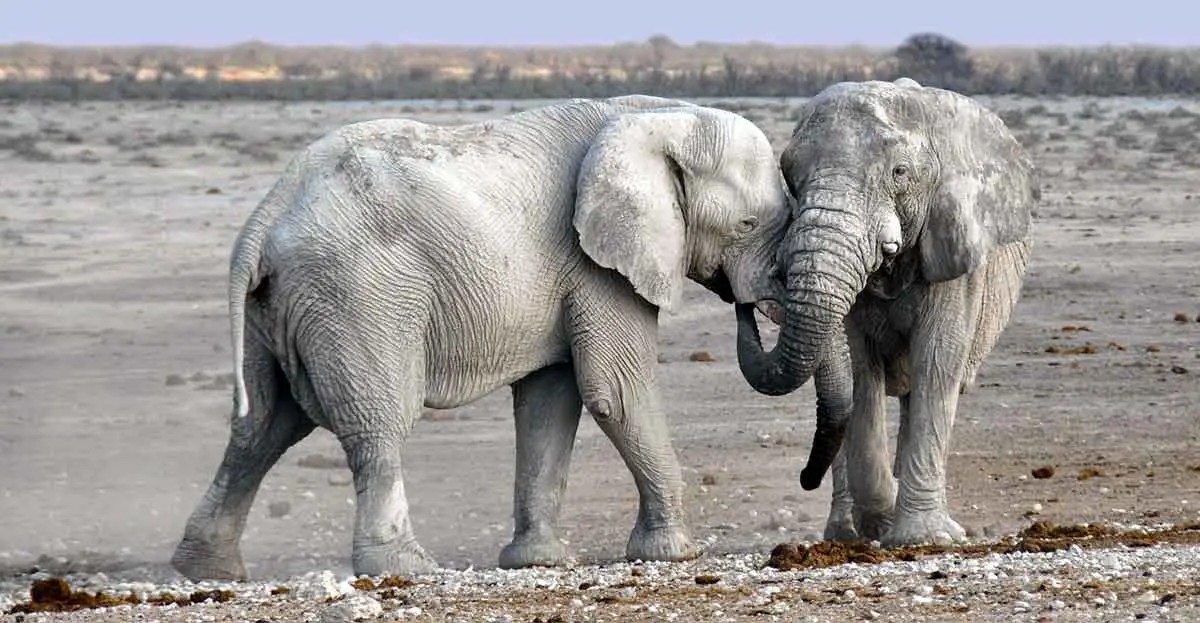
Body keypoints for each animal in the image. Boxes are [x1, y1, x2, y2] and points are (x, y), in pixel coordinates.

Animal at [164, 94, 792, 583]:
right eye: (746, 226)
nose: (747, 305)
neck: (658, 117)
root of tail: (264, 217)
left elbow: (549, 402)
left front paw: (538, 562)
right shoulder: (597, 263)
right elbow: (615, 391)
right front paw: (676, 552)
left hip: (280, 307)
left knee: (262, 427)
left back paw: (208, 571)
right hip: (357, 295)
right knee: (376, 423)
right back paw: (406, 568)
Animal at [734, 76, 1036, 547]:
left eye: (900, 173)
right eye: (790, 176)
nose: (745, 304)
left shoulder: (954, 251)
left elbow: (938, 362)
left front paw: (923, 539)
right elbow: (860, 370)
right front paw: (883, 520)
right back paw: (845, 534)